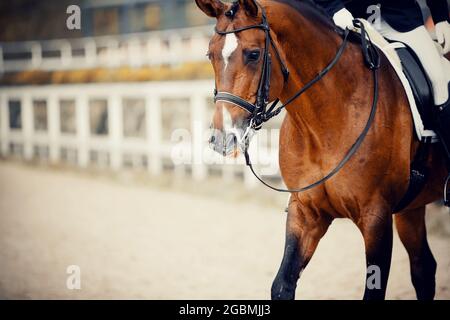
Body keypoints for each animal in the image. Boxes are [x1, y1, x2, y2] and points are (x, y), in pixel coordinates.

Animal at [195, 0, 448, 300]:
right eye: (210, 55)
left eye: (253, 54)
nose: (222, 139)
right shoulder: (306, 212)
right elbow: (281, 285)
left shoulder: (376, 217)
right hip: (411, 207)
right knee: (423, 268)